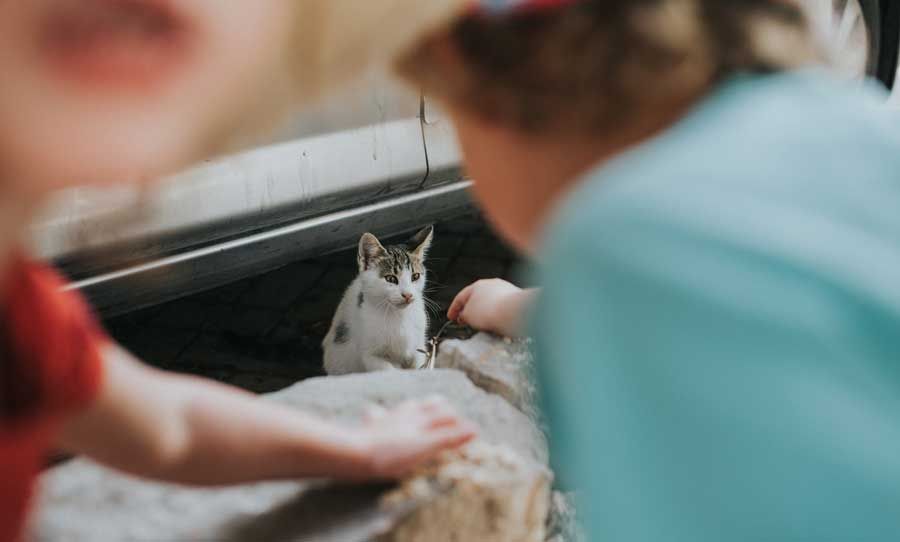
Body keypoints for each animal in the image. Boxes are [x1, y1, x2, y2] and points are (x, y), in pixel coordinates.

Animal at [324, 227, 436, 376]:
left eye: (415, 276)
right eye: (391, 279)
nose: (408, 295)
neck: (397, 315)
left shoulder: (419, 346)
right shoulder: (369, 355)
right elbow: (387, 371)